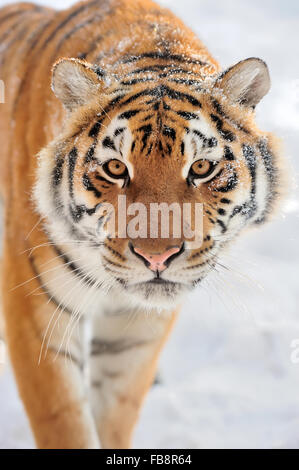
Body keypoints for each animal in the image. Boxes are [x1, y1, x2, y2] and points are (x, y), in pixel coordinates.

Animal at [0, 0, 284, 450]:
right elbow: (64, 422)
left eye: (201, 168)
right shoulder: (37, 312)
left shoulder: (134, 334)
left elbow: (116, 414)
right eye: (116, 168)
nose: (157, 258)